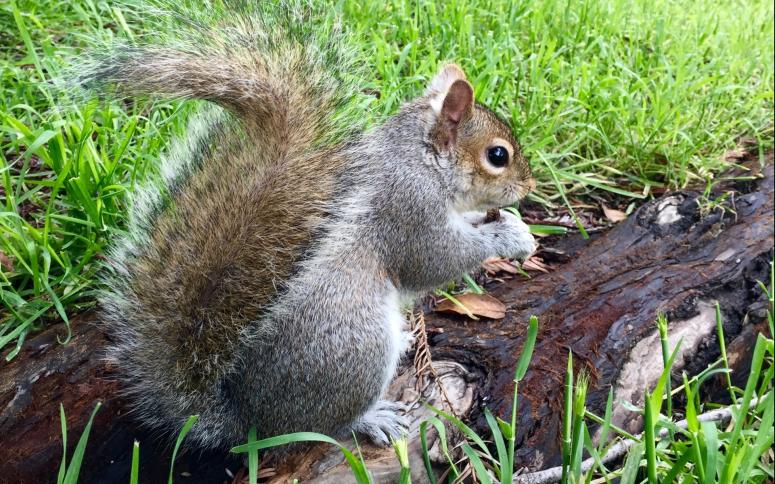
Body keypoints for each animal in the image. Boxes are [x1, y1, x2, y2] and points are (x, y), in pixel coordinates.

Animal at [91, 1, 536, 452]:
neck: (420, 159)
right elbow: (435, 261)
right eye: (498, 155)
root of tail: (248, 417)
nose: (529, 186)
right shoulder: (406, 208)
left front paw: (510, 223)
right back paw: (371, 419)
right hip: (357, 344)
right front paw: (509, 237)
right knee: (326, 426)